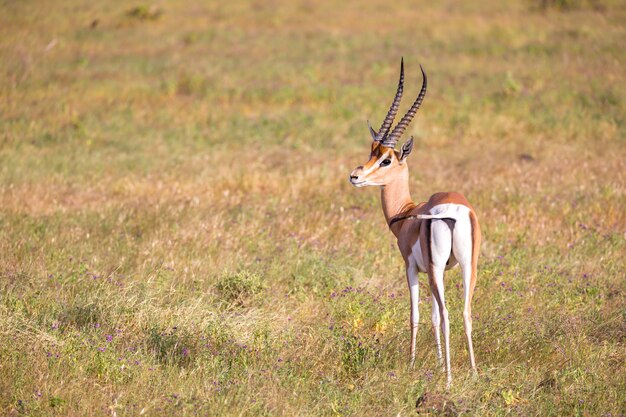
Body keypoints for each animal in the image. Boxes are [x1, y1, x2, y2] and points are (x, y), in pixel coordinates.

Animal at [348, 59, 480, 384]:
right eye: (371, 151)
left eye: (386, 159)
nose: (355, 176)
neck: (407, 214)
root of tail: (454, 210)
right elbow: (432, 316)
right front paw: (436, 362)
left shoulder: (411, 267)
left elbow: (417, 315)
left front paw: (411, 364)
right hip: (468, 265)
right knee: (465, 312)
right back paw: (473, 373)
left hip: (436, 269)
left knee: (447, 315)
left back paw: (449, 378)